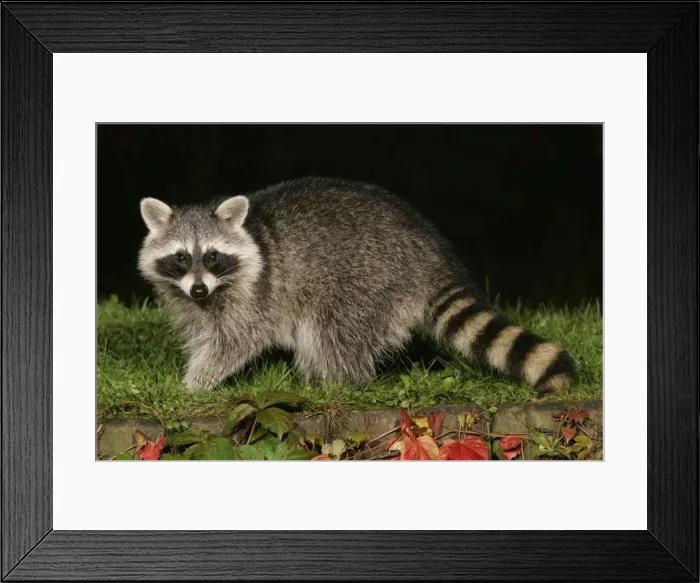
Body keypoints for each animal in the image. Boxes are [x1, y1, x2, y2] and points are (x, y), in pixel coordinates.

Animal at [138, 176, 576, 392]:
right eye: (181, 257)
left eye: (213, 255)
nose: (198, 290)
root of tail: (432, 254)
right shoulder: (197, 300)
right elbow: (207, 333)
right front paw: (195, 372)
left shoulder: (255, 294)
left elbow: (237, 341)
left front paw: (195, 384)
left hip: (367, 277)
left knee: (334, 329)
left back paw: (338, 382)